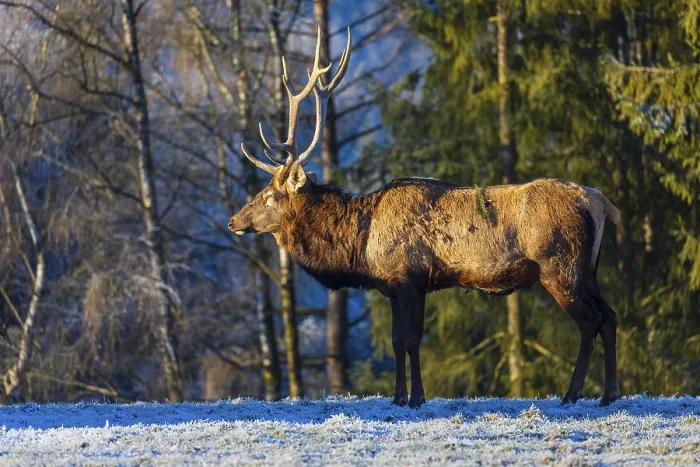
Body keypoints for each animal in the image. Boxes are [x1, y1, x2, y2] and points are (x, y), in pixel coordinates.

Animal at [228, 27, 622, 408]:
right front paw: (397, 398)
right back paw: (607, 394)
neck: (360, 245)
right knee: (610, 316)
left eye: (270, 195)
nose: (233, 220)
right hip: (588, 269)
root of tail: (601, 202)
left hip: (560, 266)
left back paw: (573, 395)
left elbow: (412, 341)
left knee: (590, 322)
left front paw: (417, 398)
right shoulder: (390, 286)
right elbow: (395, 341)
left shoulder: (411, 277)